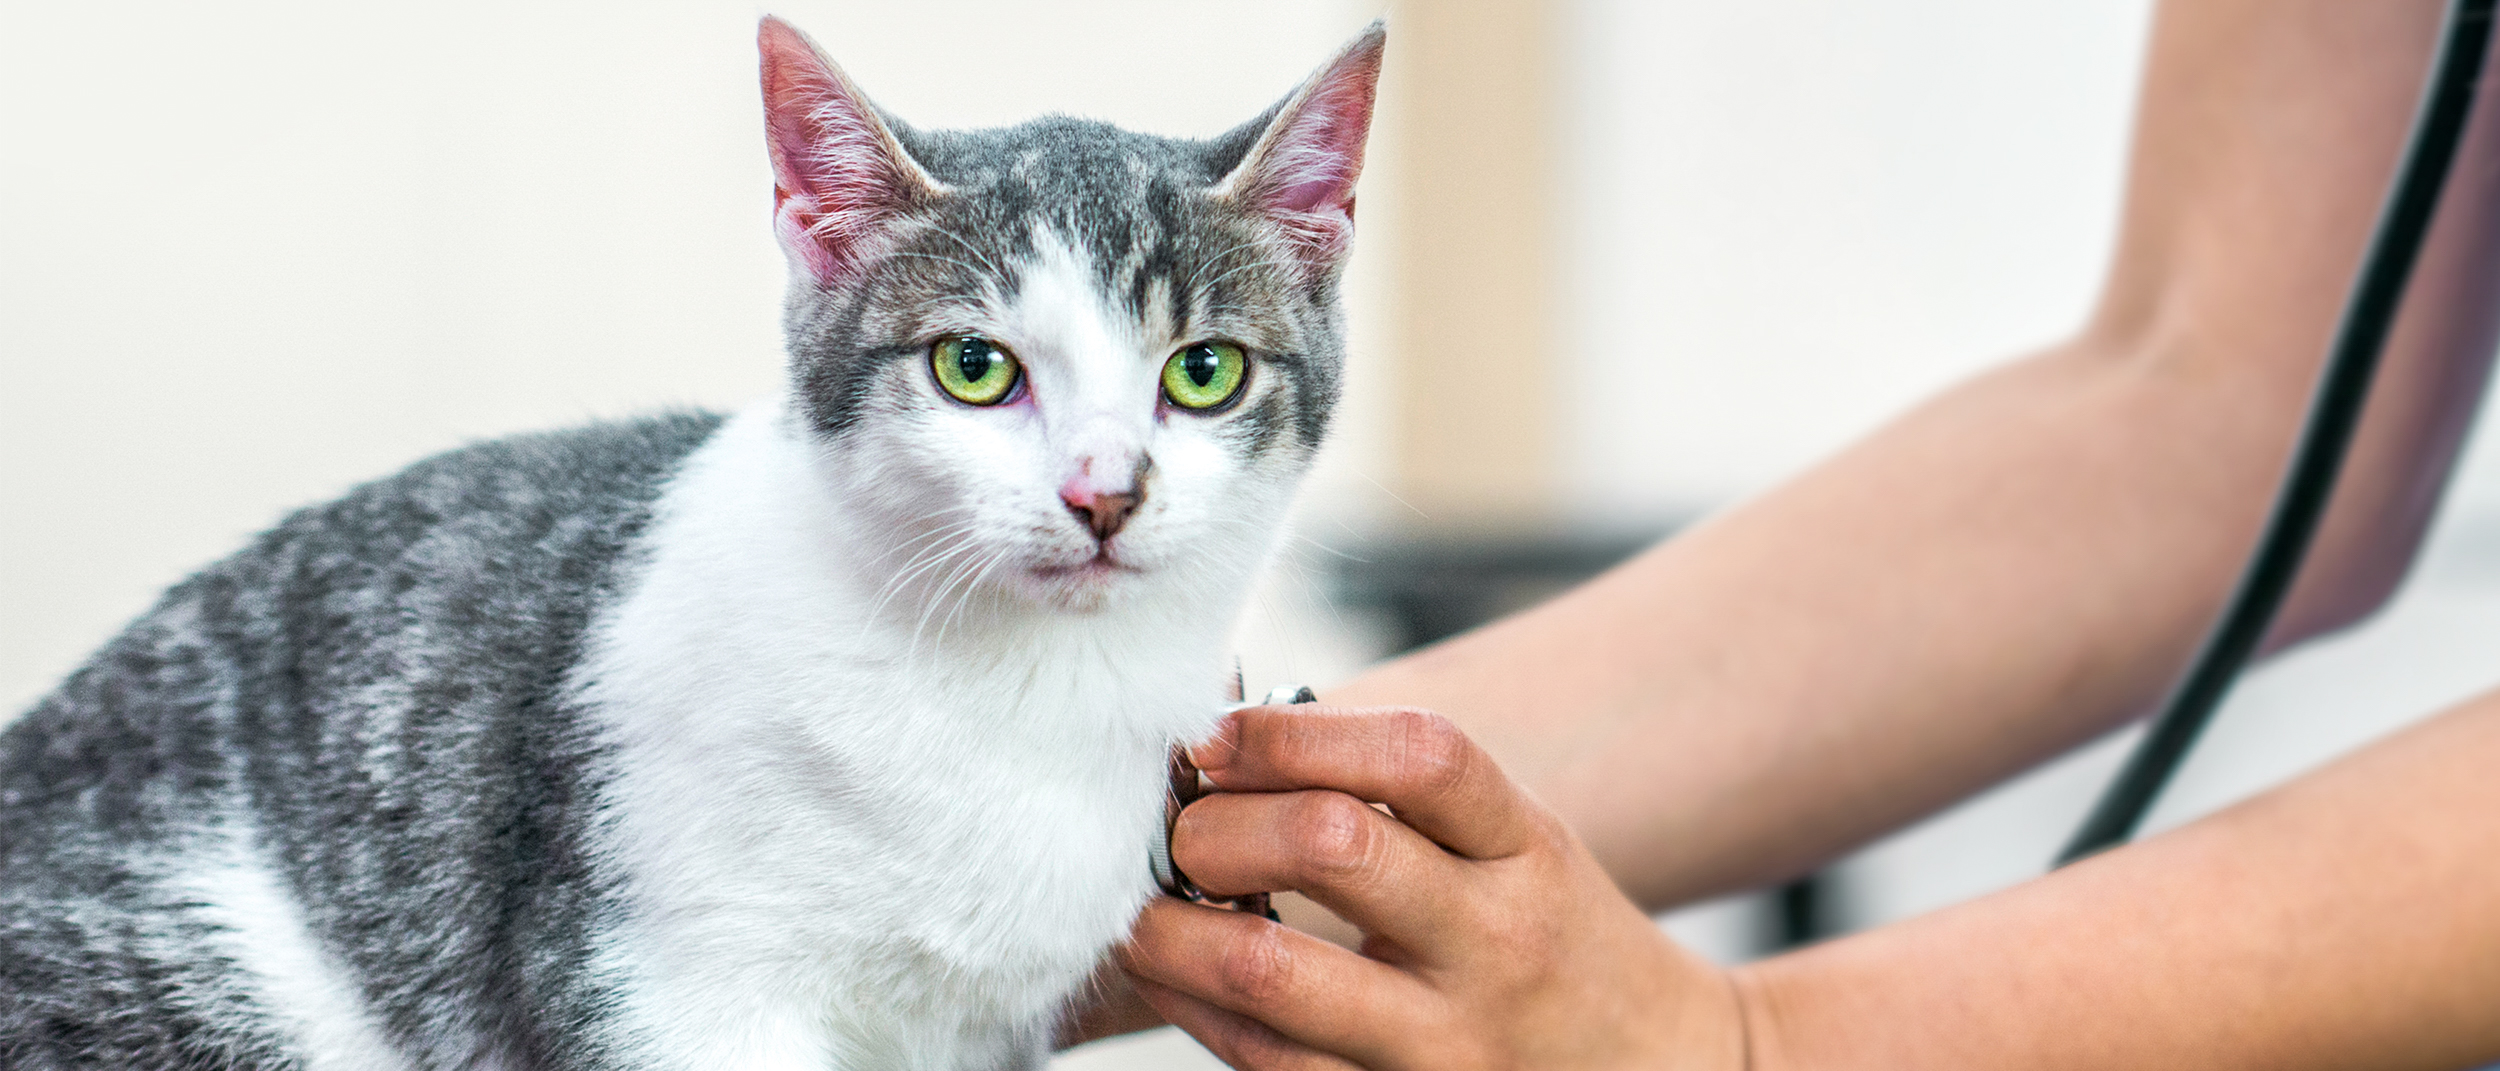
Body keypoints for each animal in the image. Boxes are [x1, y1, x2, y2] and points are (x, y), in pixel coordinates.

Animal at [0, 18, 1390, 1071]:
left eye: (1202, 372)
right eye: (973, 366)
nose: (1103, 493)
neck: (1008, 692)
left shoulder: (970, 1032)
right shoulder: (657, 980)